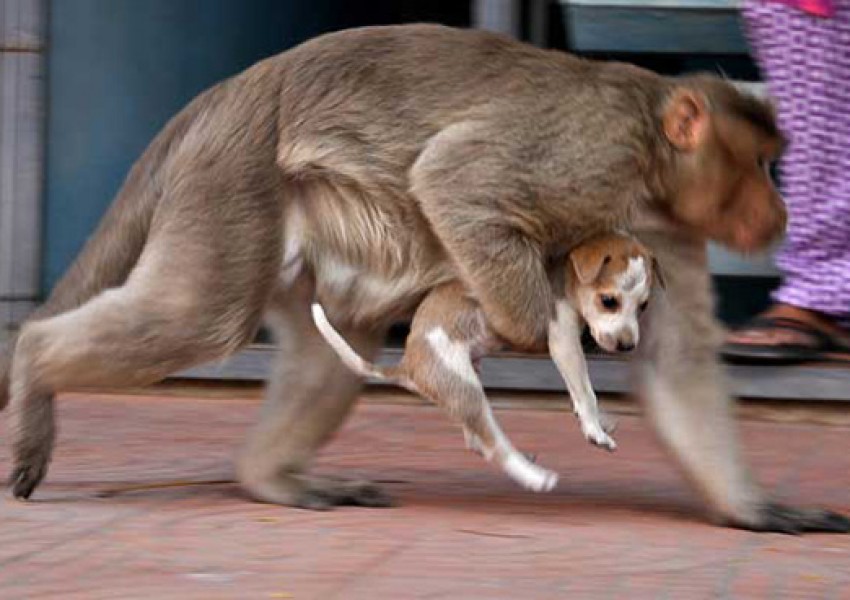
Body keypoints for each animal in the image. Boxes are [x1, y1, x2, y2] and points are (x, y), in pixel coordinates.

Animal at [310, 232, 656, 490]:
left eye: (643, 306)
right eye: (609, 301)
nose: (628, 346)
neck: (563, 274)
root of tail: (408, 364)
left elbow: (583, 392)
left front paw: (601, 420)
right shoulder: (563, 341)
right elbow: (586, 391)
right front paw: (595, 430)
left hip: (470, 378)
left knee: (477, 441)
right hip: (466, 390)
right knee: (493, 446)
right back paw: (534, 477)